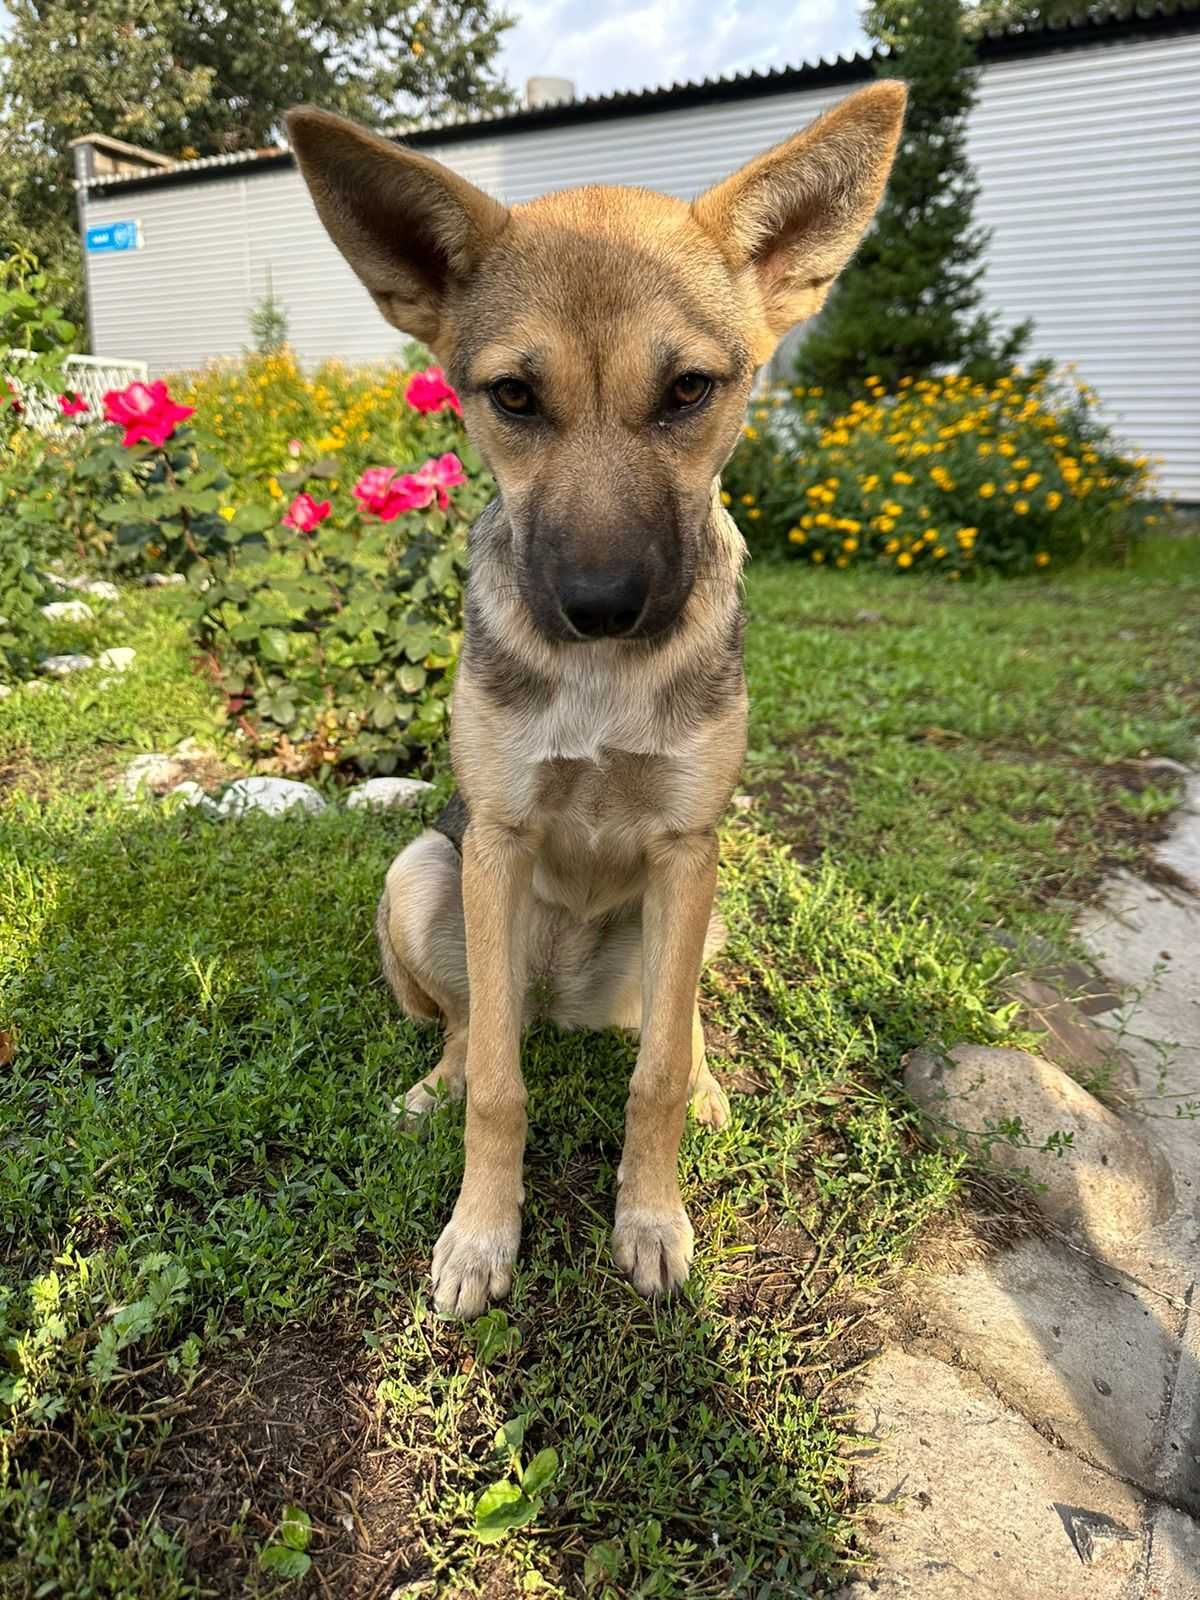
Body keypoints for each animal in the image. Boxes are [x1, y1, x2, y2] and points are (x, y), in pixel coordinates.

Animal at [291, 81, 908, 1318]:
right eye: (514, 397)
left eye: (689, 391)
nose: (602, 606)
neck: (602, 683)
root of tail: (572, 1004)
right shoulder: (496, 838)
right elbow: (500, 1086)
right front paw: (481, 1236)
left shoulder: (686, 845)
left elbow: (655, 1071)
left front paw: (651, 1216)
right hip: (424, 874)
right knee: (477, 1025)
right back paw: (436, 1081)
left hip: (714, 901)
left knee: (670, 1020)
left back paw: (707, 1081)